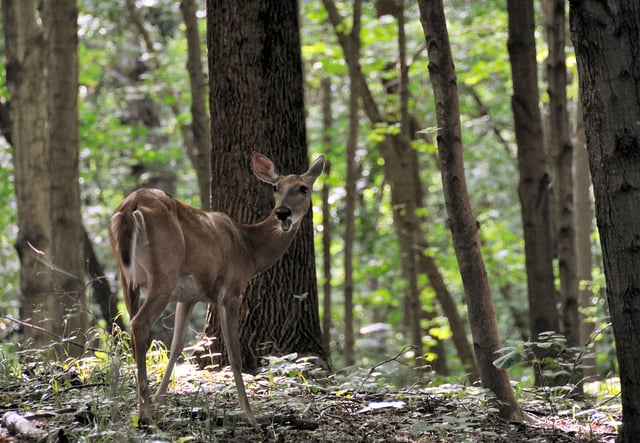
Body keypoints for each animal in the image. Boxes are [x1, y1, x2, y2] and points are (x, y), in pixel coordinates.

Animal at [108, 153, 324, 426]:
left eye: (303, 188)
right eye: (276, 187)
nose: (282, 213)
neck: (249, 249)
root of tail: (132, 204)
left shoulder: (188, 296)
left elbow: (177, 346)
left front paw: (160, 398)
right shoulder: (231, 290)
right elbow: (233, 352)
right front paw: (250, 416)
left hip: (127, 278)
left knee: (131, 326)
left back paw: (141, 407)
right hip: (164, 273)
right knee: (139, 323)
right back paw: (144, 414)